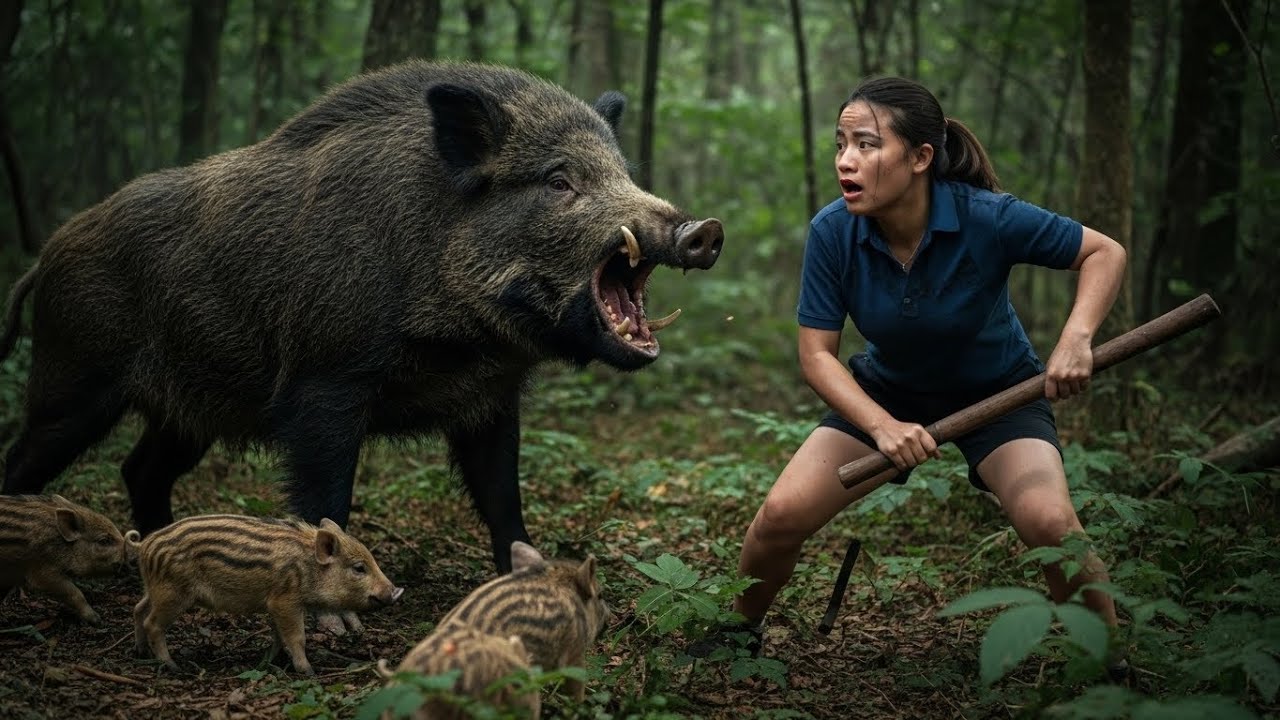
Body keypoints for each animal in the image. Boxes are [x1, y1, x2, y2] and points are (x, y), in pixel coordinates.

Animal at [0, 59, 724, 578]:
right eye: (558, 180)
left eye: (623, 172)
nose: (702, 230)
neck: (465, 339)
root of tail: (46, 255)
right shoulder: (324, 381)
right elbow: (327, 500)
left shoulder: (490, 399)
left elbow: (502, 496)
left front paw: (528, 572)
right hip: (73, 376)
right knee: (24, 460)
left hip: (187, 410)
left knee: (140, 469)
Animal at [129, 513, 404, 674]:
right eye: (359, 568)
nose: (396, 591)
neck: (308, 567)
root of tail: (143, 546)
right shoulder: (285, 601)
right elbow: (296, 637)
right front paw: (308, 672)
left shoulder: (274, 604)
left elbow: (278, 636)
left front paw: (268, 662)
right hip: (172, 594)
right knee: (152, 623)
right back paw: (173, 667)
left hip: (154, 589)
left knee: (138, 609)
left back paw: (141, 652)